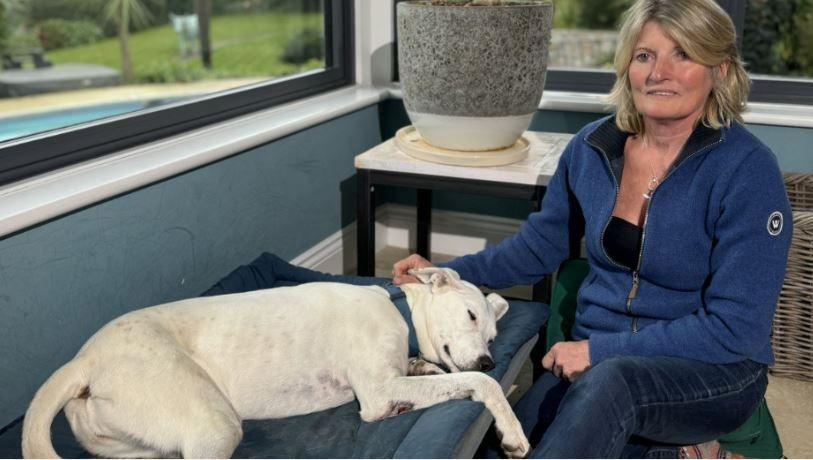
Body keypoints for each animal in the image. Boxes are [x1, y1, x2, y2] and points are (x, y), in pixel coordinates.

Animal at [22, 268, 528, 458]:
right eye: (470, 315)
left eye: (492, 336)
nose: (488, 359)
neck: (398, 308)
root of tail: (85, 360)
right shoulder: (377, 393)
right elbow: (483, 388)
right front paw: (512, 431)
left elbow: (447, 377)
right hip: (214, 425)